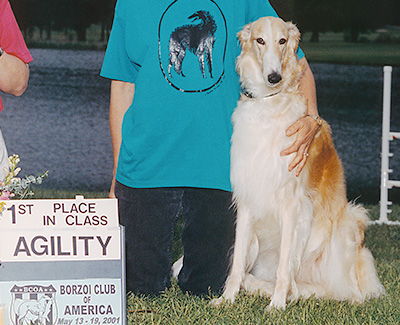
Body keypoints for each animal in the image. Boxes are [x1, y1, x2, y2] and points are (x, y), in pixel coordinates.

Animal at [211, 15, 386, 308]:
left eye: (283, 40)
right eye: (260, 40)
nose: (274, 77)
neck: (268, 104)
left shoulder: (292, 205)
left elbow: (284, 267)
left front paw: (277, 305)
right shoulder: (247, 199)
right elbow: (236, 265)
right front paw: (226, 299)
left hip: (349, 220)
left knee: (346, 293)